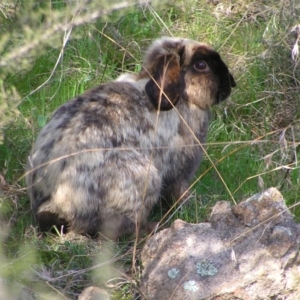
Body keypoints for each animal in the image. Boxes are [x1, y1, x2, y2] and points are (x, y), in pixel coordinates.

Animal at [25, 36, 236, 240]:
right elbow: (179, 191)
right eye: (201, 65)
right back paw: (153, 227)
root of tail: (55, 202)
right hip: (142, 180)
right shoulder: (180, 171)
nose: (231, 83)